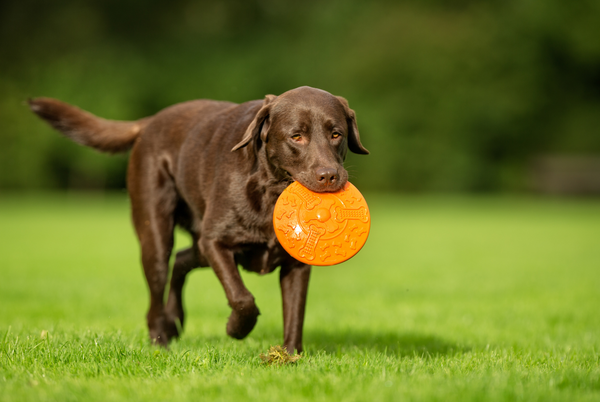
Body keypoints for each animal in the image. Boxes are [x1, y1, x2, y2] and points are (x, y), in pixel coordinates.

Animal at [30, 86, 368, 354]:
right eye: (296, 136)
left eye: (336, 134)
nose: (329, 176)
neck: (271, 191)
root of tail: (150, 121)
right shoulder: (215, 242)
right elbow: (242, 297)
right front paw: (236, 329)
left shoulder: (296, 264)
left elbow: (295, 313)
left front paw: (290, 356)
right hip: (157, 236)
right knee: (158, 288)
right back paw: (160, 340)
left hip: (196, 245)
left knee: (181, 260)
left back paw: (175, 320)